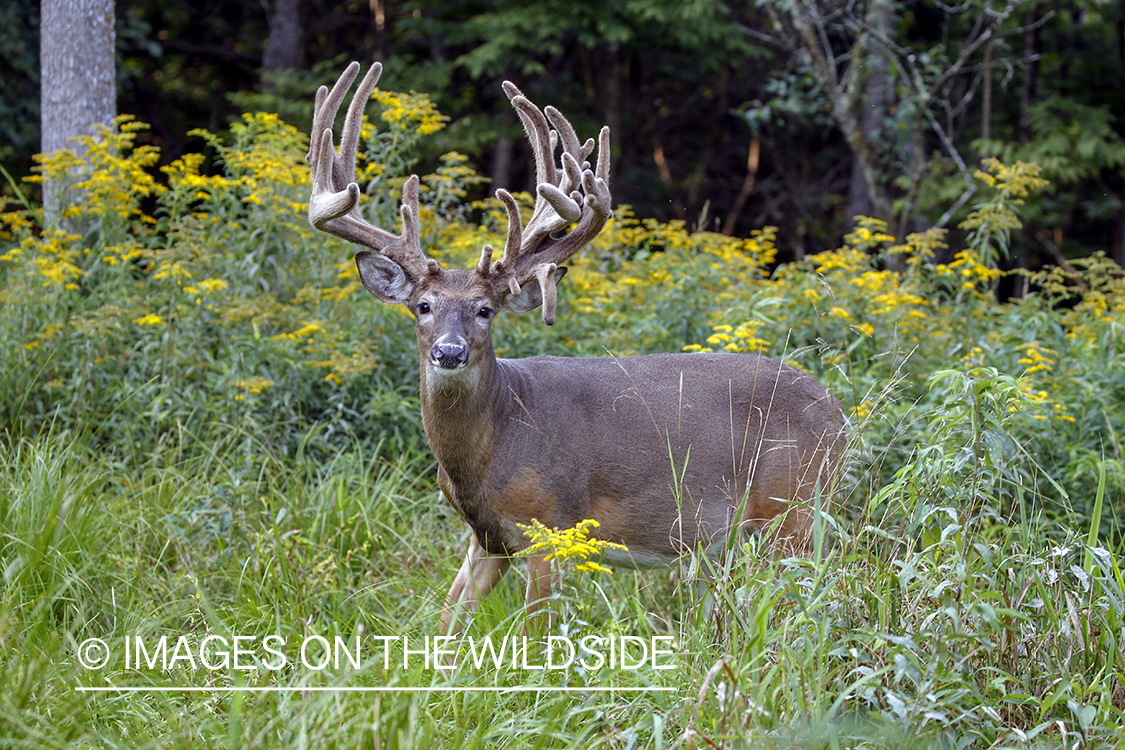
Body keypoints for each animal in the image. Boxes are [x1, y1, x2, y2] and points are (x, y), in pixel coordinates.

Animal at [306, 60, 846, 634]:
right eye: (422, 306)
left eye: (485, 309)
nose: (449, 352)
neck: (492, 444)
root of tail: (839, 413)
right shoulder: (486, 539)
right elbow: (447, 623)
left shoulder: (552, 525)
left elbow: (533, 636)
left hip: (795, 505)